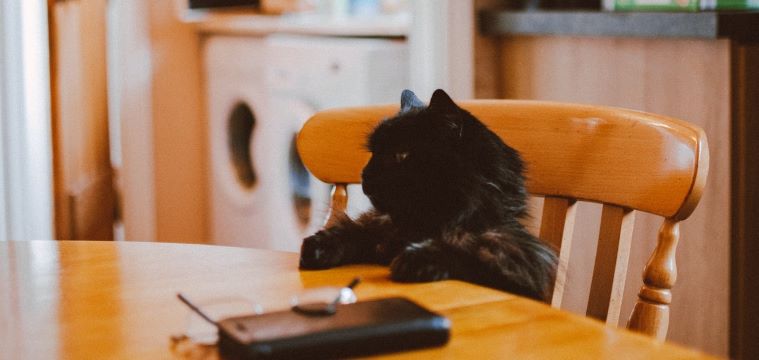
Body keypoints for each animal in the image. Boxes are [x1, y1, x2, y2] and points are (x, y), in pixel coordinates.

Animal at [298, 89, 560, 300]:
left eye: (401, 154)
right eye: (373, 153)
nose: (365, 175)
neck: (423, 225)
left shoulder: (514, 261)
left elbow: (465, 252)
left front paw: (417, 259)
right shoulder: (377, 229)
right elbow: (352, 232)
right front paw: (317, 248)